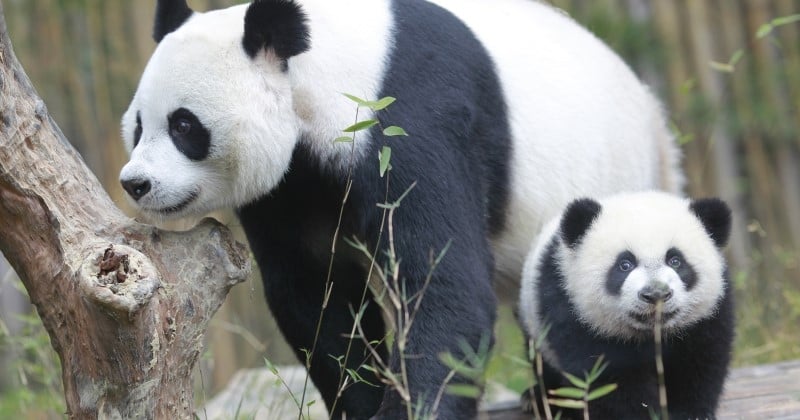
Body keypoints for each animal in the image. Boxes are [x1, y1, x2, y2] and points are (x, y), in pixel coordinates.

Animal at [117, 0, 680, 416]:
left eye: (185, 125)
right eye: (139, 125)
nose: (135, 184)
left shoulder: (411, 121)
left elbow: (444, 288)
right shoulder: (290, 188)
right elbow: (316, 298)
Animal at [516, 192, 736, 418]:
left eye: (675, 260)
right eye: (625, 264)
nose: (656, 294)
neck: (651, 332)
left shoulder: (707, 314)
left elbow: (700, 360)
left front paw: (690, 412)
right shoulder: (571, 307)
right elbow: (607, 375)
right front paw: (643, 413)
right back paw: (538, 399)